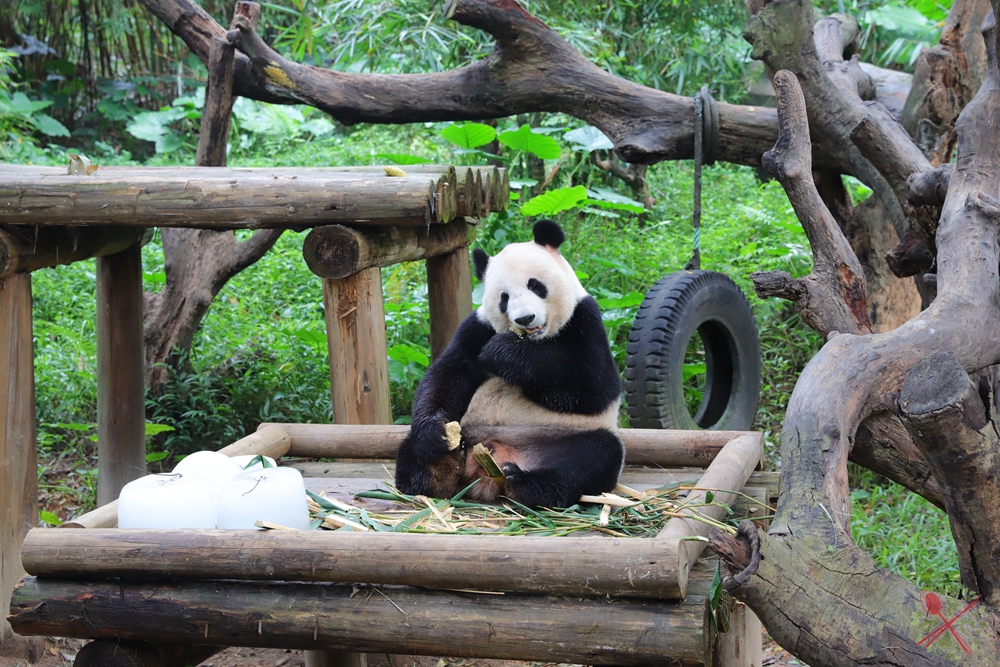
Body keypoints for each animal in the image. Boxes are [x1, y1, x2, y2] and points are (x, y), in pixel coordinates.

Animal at [392, 219, 620, 506]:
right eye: (504, 297)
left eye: (535, 285)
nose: (525, 318)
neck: (533, 340)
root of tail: (490, 468)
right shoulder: (477, 327)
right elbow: (449, 374)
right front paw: (436, 435)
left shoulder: (585, 320)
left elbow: (593, 387)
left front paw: (502, 353)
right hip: (468, 434)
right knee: (410, 449)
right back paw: (439, 470)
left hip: (565, 437)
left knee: (594, 457)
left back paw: (527, 484)